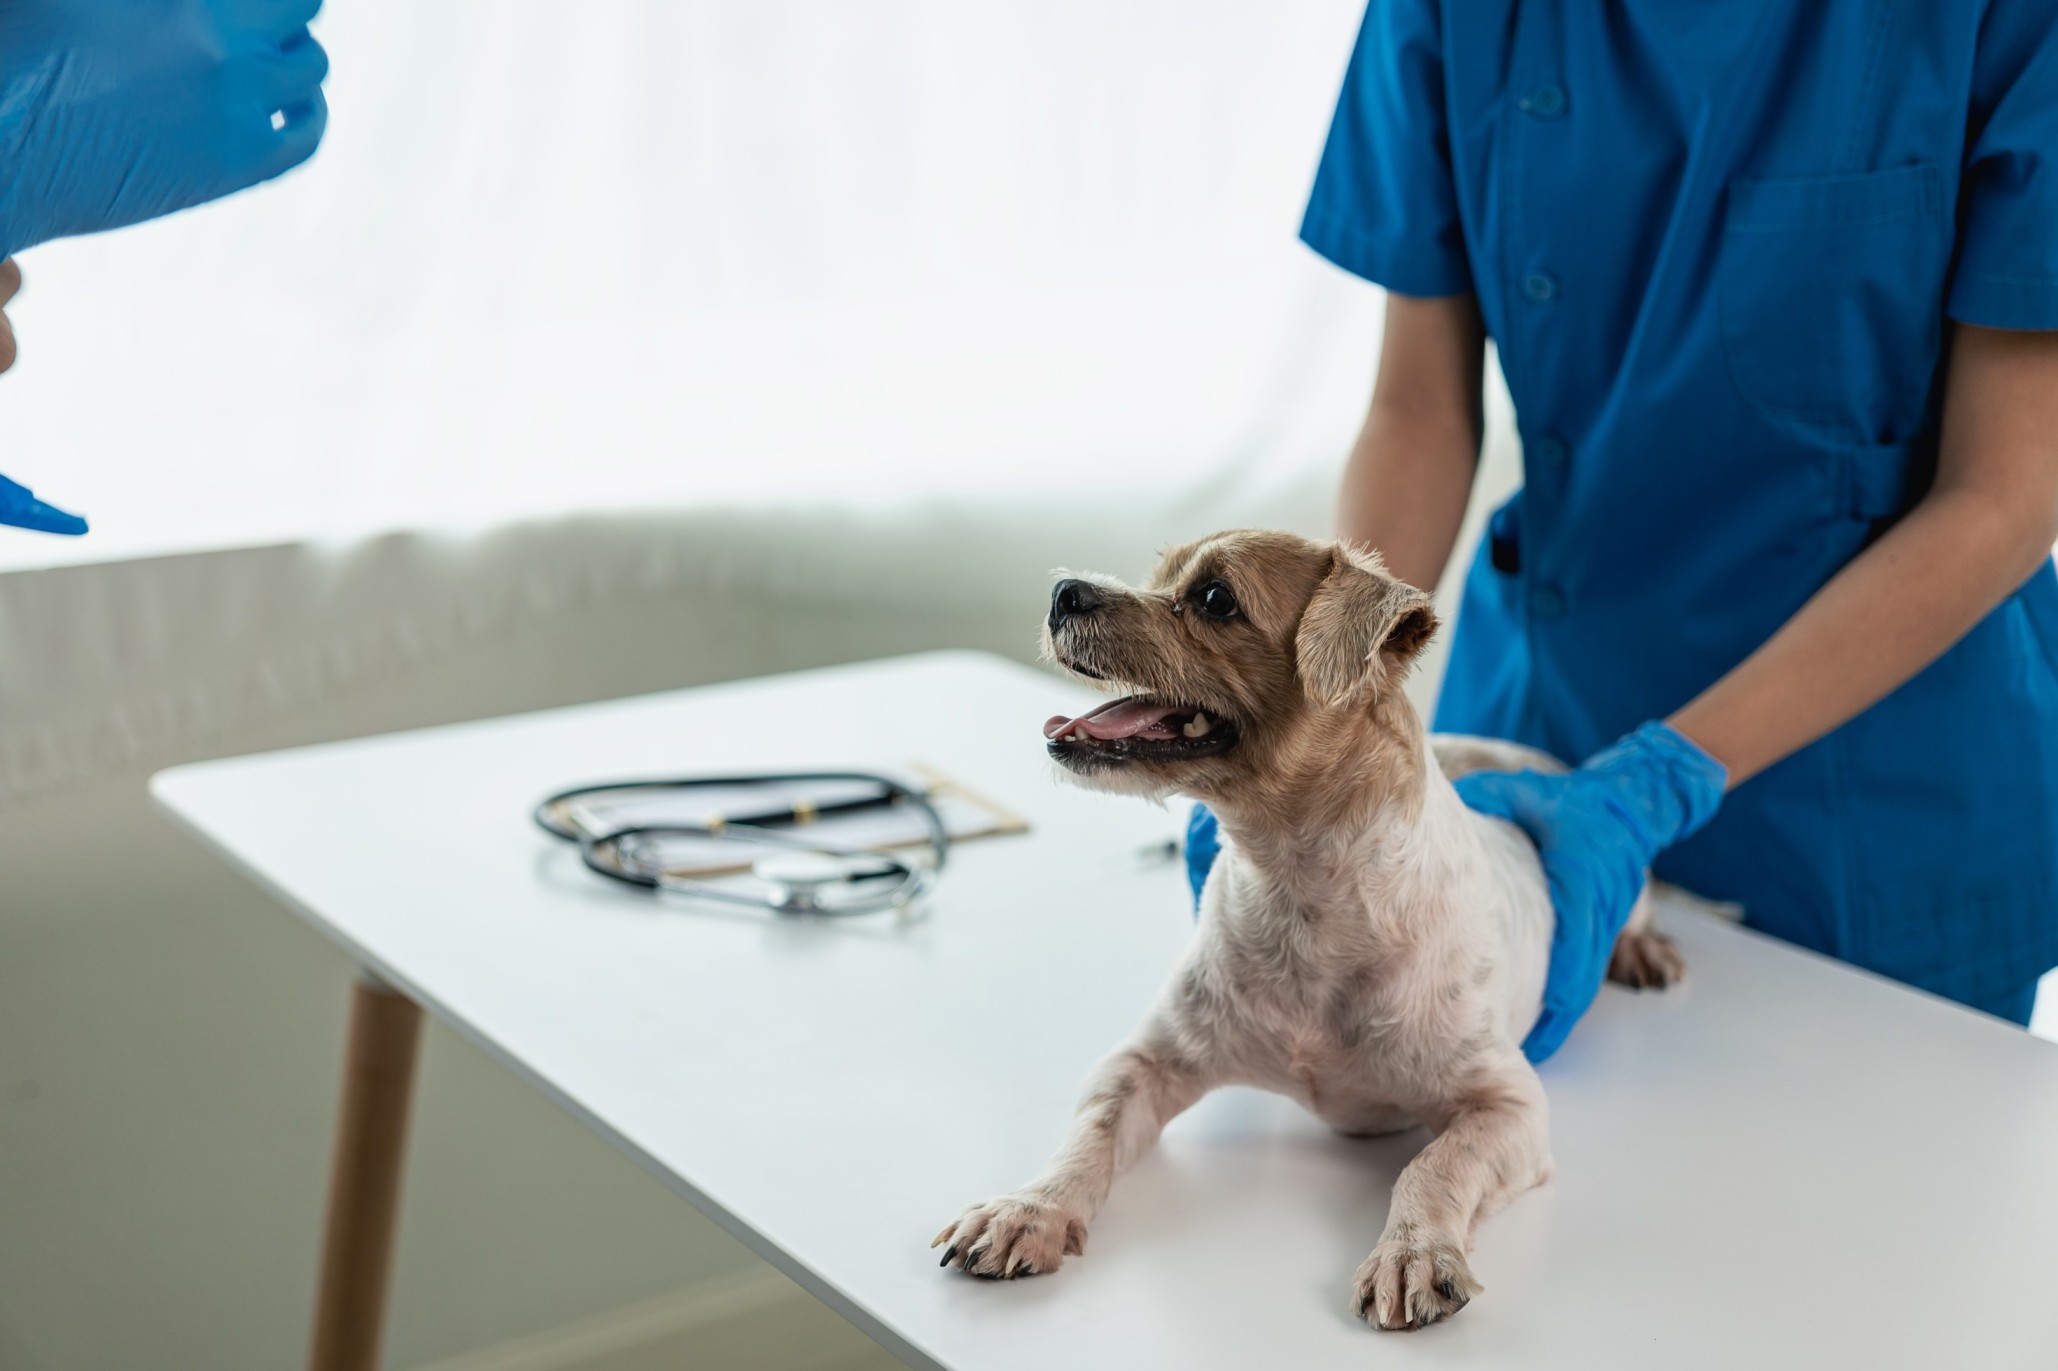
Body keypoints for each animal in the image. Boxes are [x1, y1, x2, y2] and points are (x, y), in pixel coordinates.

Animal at [942, 524, 1679, 1325]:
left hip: (1627, 877)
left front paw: (1413, 1251)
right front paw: (1030, 1208)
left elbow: (1432, 1163)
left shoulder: (1507, 1106)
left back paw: (1642, 948)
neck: (1302, 894)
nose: (1063, 591)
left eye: (1215, 597)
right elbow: (1090, 1133)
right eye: (1159, 572)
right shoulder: (1142, 1063)